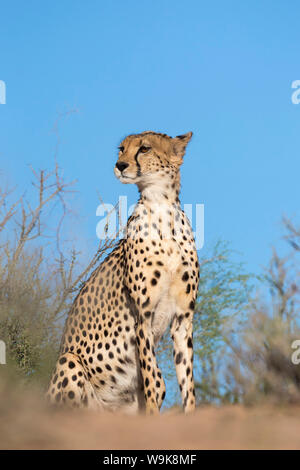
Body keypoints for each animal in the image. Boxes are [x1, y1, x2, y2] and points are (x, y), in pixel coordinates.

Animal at [47, 130, 199, 414]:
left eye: (145, 148)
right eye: (121, 149)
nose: (120, 165)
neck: (161, 209)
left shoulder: (183, 319)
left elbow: (187, 379)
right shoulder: (143, 317)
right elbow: (149, 377)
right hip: (68, 361)